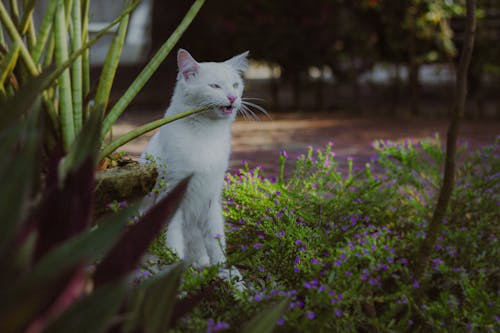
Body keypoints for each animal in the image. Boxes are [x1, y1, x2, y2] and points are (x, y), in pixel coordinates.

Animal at [140, 49, 249, 270]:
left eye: (235, 85)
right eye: (215, 86)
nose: (232, 97)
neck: (206, 134)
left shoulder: (211, 196)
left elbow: (216, 237)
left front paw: (220, 266)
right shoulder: (171, 190)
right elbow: (173, 234)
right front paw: (174, 260)